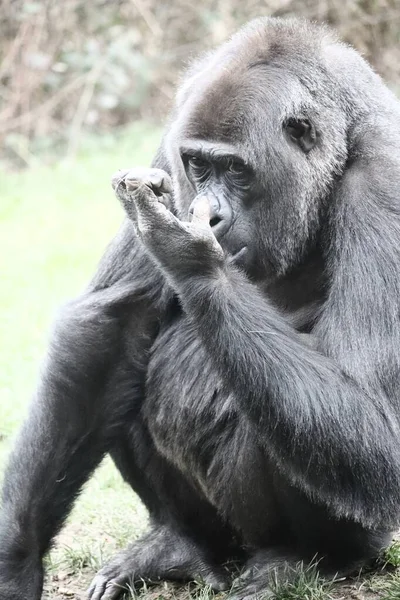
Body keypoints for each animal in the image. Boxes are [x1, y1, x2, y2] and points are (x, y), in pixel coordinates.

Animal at [0, 14, 400, 600]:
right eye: (197, 165)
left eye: (235, 170)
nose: (207, 216)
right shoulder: (167, 149)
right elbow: (109, 327)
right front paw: (16, 560)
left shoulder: (385, 181)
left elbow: (374, 415)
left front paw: (189, 255)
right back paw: (179, 543)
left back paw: (311, 559)